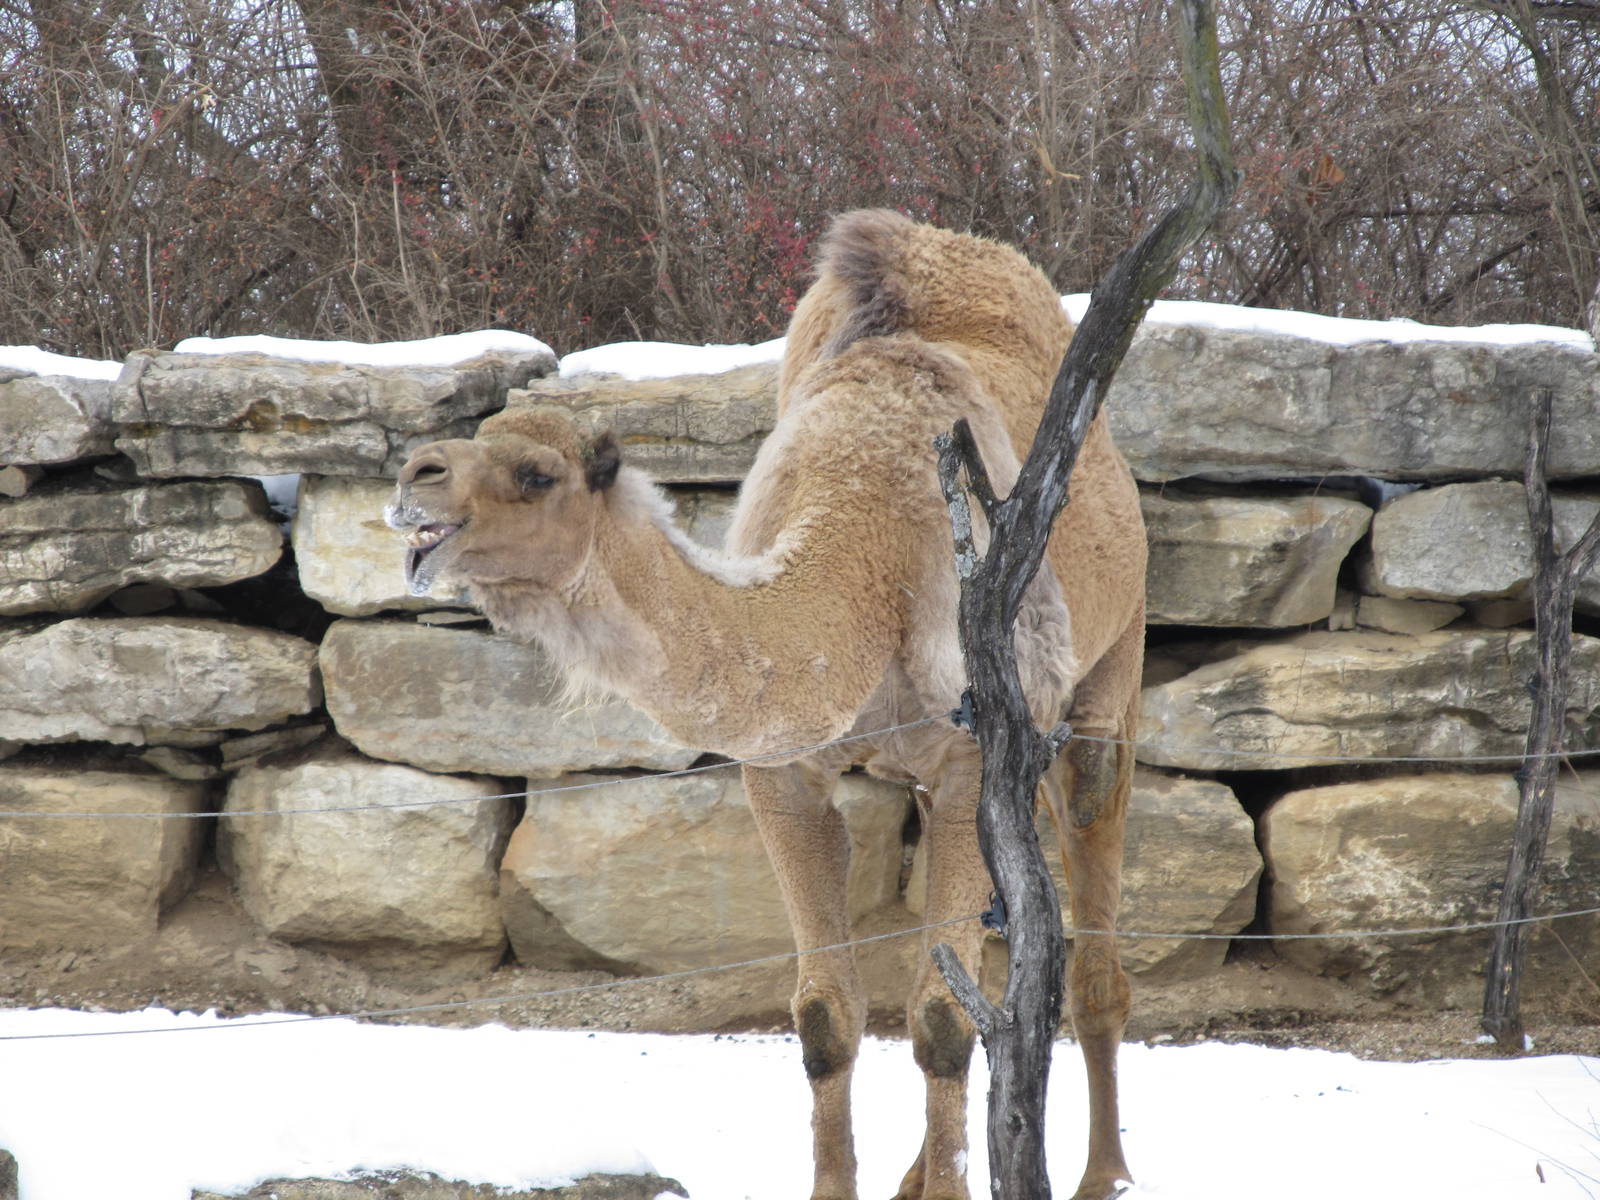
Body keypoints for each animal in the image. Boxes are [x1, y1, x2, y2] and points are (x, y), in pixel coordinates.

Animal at [385, 209, 1146, 1200]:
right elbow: (827, 1019)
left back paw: (1105, 1175)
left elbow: (942, 1022)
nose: (416, 474)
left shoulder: (973, 751)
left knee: (1087, 905)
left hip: (1109, 670)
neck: (863, 561)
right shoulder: (784, 772)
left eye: (538, 473)